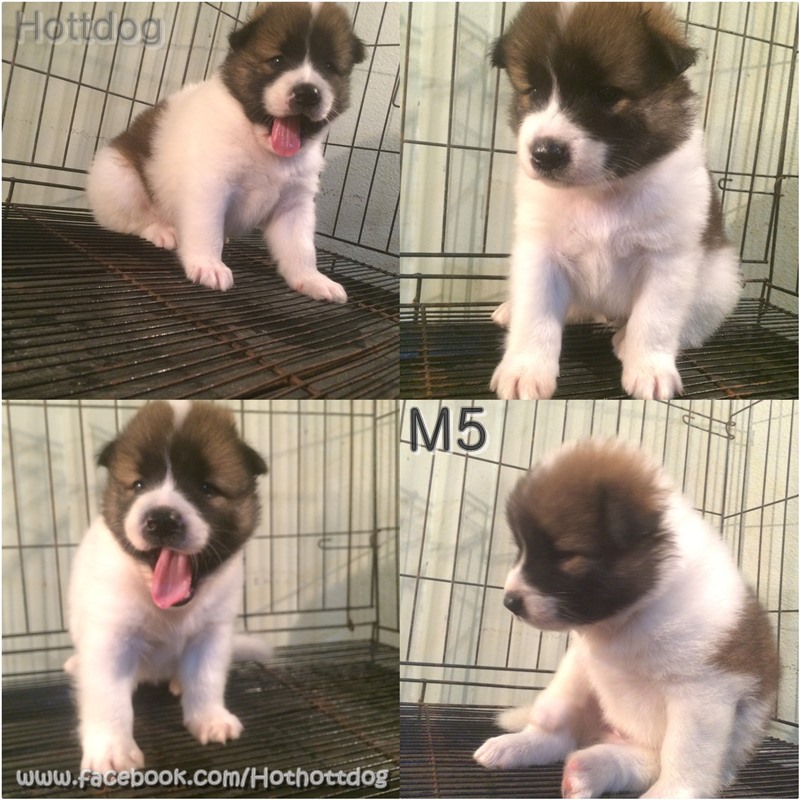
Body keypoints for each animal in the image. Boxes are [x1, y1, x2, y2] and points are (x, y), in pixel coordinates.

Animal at [66, 400, 268, 772]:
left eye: (206, 488)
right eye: (139, 484)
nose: (161, 520)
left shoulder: (212, 634)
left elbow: (205, 680)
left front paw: (209, 718)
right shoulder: (110, 637)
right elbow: (108, 698)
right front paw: (111, 750)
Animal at [86, 3, 365, 302]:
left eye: (328, 66)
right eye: (278, 61)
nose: (308, 93)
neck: (260, 144)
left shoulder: (295, 203)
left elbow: (301, 249)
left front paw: (312, 279)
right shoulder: (210, 187)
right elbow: (206, 229)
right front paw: (208, 264)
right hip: (119, 181)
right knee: (129, 221)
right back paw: (161, 230)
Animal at [473, 440, 779, 797]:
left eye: (565, 555)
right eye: (521, 549)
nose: (510, 602)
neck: (633, 615)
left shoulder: (702, 693)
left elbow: (685, 754)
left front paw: (672, 791)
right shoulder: (582, 660)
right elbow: (559, 697)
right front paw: (540, 721)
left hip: (649, 750)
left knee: (638, 762)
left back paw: (586, 771)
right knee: (558, 738)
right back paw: (520, 745)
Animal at [489, 3, 741, 400]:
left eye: (606, 94)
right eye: (534, 90)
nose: (544, 154)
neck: (600, 191)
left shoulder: (667, 259)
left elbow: (656, 320)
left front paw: (650, 369)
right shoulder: (539, 253)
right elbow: (536, 315)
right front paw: (525, 369)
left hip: (721, 284)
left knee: (693, 324)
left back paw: (627, 338)